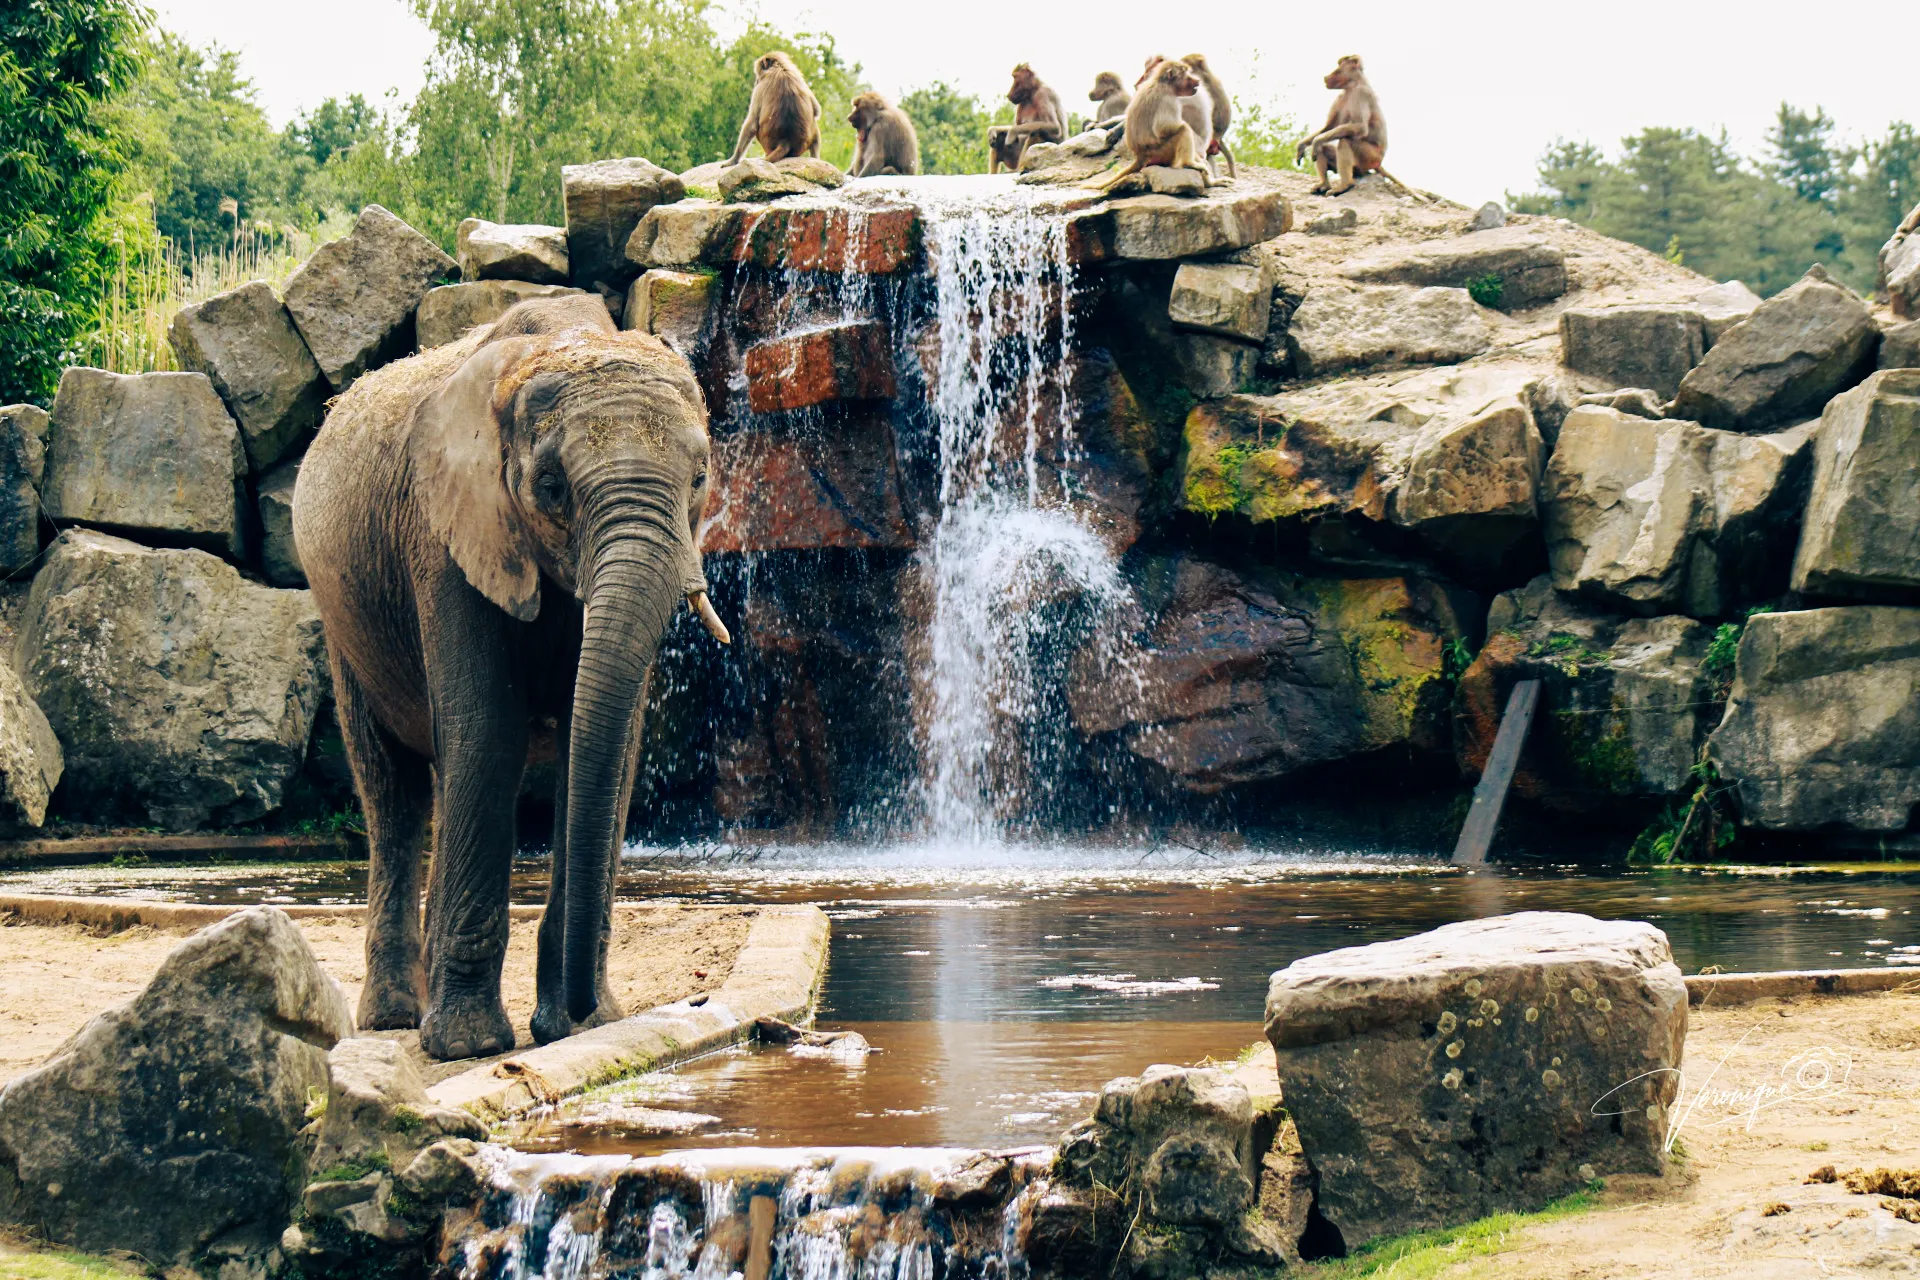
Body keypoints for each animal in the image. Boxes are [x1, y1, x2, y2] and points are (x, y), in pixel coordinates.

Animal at [292, 295, 730, 1060]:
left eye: (699, 478)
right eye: (551, 488)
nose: (585, 1008)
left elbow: (607, 751)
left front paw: (578, 1028)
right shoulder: (443, 537)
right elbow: (488, 735)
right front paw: (469, 1046)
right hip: (342, 616)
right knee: (393, 793)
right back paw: (398, 1020)